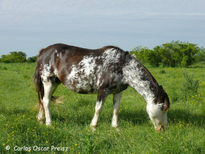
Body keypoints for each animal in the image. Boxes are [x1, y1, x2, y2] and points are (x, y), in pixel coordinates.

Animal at [33, 43, 170, 130]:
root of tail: (43, 51)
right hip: (48, 81)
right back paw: (49, 123)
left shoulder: (118, 92)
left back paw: (40, 119)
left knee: (44, 99)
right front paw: (93, 126)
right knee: (46, 101)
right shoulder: (102, 90)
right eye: (163, 107)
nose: (163, 128)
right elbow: (98, 108)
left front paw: (115, 127)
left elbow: (116, 109)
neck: (122, 67)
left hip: (55, 83)